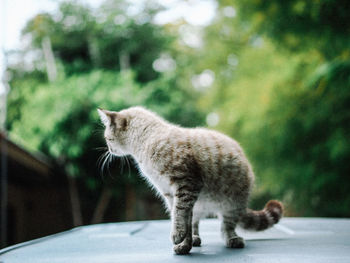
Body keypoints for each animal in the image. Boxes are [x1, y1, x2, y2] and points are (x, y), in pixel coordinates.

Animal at [97, 106, 284, 256]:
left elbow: (180, 216)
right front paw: (184, 245)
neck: (148, 140)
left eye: (107, 138)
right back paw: (195, 238)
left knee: (226, 227)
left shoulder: (186, 184)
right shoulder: (171, 194)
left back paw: (233, 239)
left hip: (232, 203)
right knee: (195, 223)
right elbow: (180, 218)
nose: (109, 150)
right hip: (200, 205)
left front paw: (178, 238)